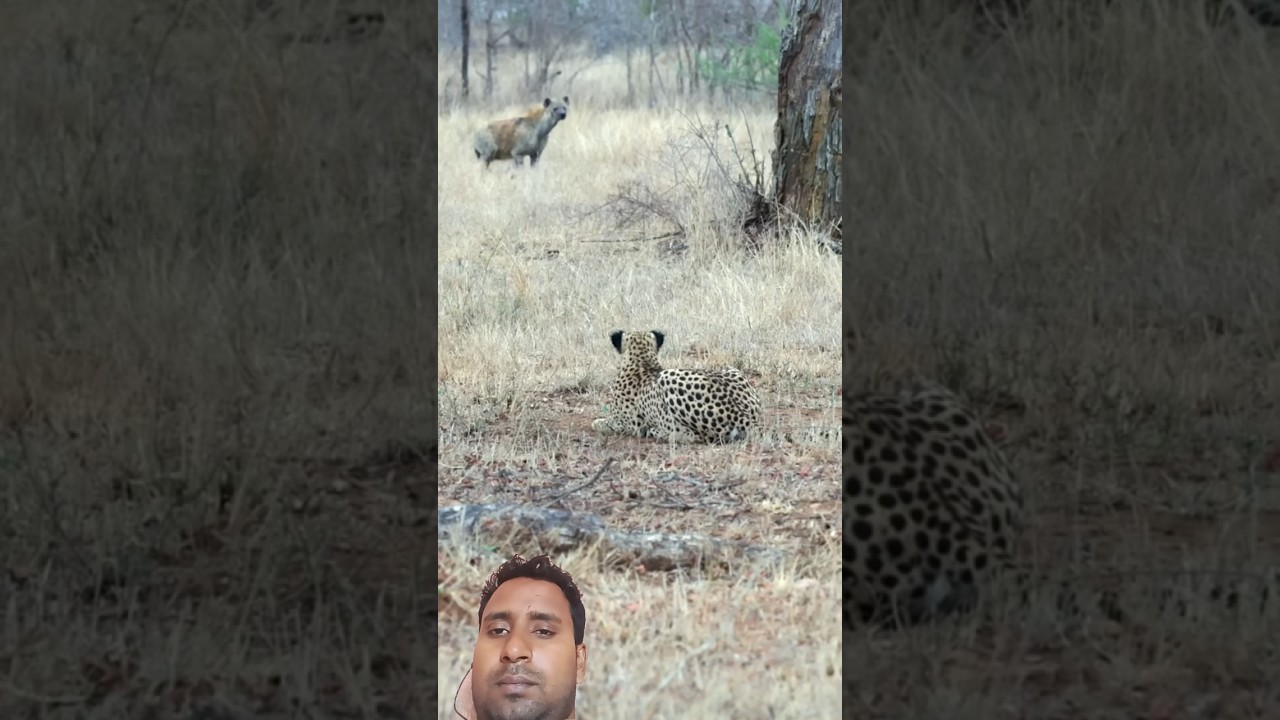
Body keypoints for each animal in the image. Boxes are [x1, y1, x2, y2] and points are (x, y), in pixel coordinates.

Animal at [591, 330, 761, 444]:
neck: (642, 362)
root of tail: (745, 416)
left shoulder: (629, 424)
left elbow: (605, 422)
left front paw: (597, 422)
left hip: (668, 377)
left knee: (692, 435)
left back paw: (656, 431)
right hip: (731, 369)